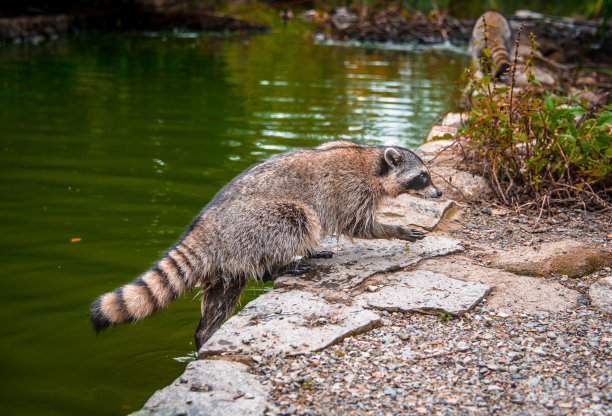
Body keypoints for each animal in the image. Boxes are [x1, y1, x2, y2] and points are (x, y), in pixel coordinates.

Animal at [88, 141, 442, 350]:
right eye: (423, 177)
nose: (439, 193)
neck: (371, 159)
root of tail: (206, 227)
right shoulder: (349, 191)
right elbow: (358, 225)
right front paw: (395, 229)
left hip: (227, 262)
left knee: (220, 301)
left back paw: (205, 338)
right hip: (256, 223)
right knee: (298, 218)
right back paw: (278, 267)